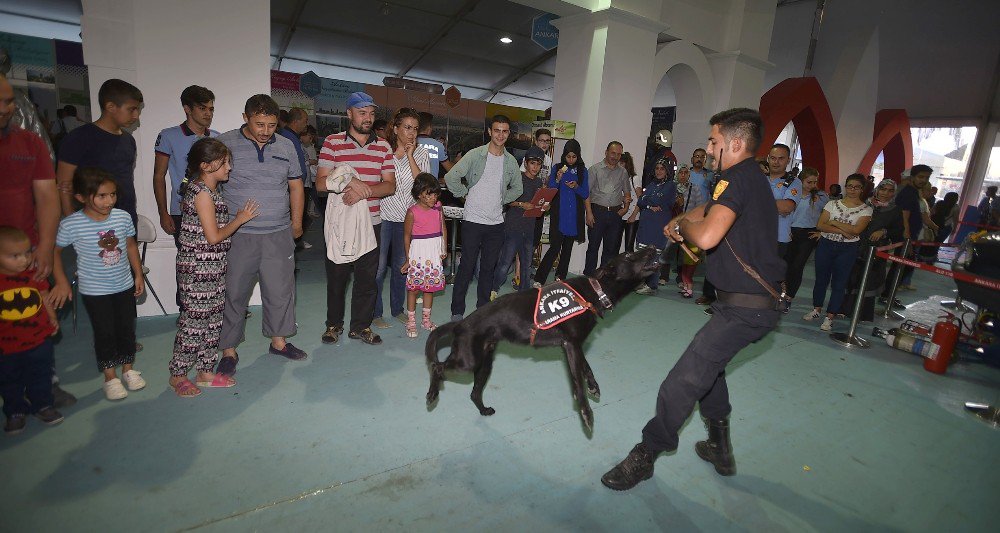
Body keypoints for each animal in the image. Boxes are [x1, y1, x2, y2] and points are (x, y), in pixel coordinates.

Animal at [424, 246, 664, 428]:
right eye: (630, 255)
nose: (654, 247)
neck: (594, 291)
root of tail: (462, 323)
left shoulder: (575, 345)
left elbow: (586, 367)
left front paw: (593, 386)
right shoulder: (571, 345)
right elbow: (577, 383)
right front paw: (586, 412)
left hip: (483, 363)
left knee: (474, 393)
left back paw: (483, 410)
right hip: (468, 361)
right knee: (437, 367)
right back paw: (432, 393)